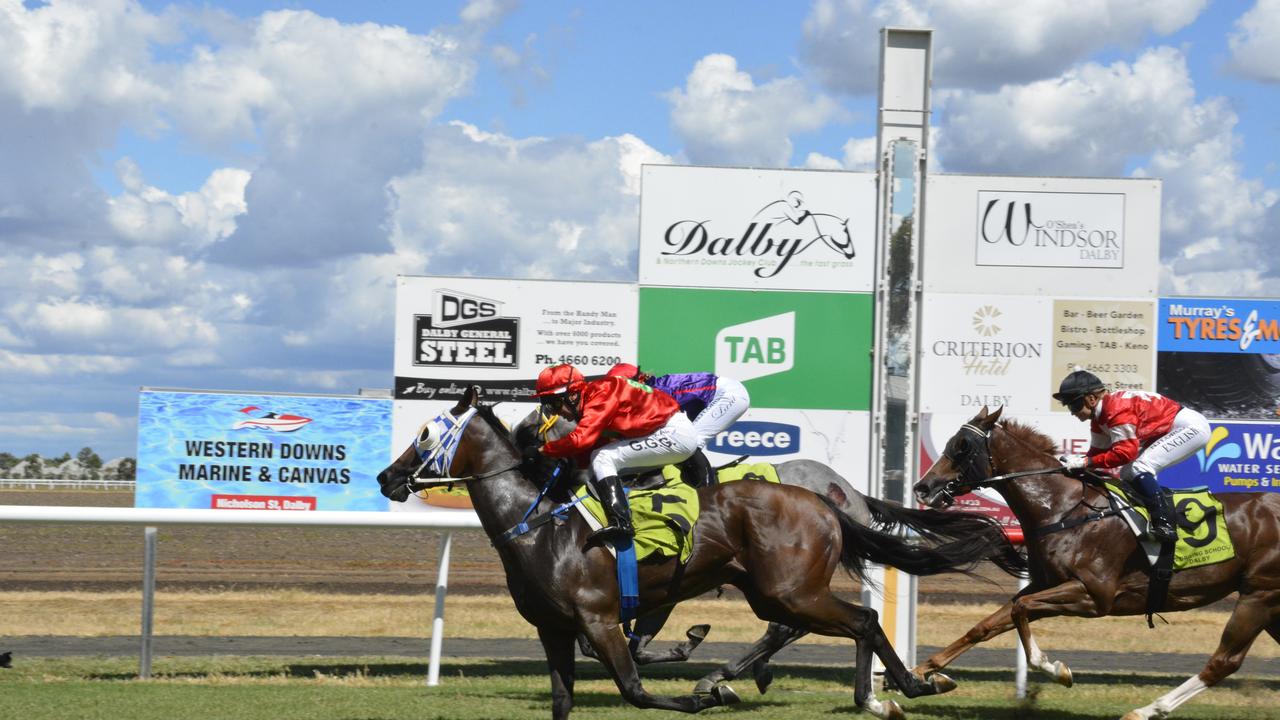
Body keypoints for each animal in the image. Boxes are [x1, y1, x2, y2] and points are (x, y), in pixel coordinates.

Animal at [373, 386, 1024, 717]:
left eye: (426, 435)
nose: (387, 477)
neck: (541, 524)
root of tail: (829, 497)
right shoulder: (563, 626)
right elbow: (582, 685)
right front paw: (693, 657)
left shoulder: (602, 614)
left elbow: (635, 680)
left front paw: (696, 679)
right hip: (772, 591)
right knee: (839, 623)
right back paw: (874, 692)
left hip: (791, 589)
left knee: (854, 619)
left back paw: (891, 689)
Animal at [916, 404, 1280, 717]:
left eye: (963, 447)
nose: (923, 487)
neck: (1063, 508)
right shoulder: (1046, 584)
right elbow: (987, 624)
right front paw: (920, 673)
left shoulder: (1095, 594)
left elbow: (1021, 610)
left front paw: (1056, 669)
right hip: (1269, 603)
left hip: (1259, 594)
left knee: (1223, 662)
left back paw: (1146, 710)